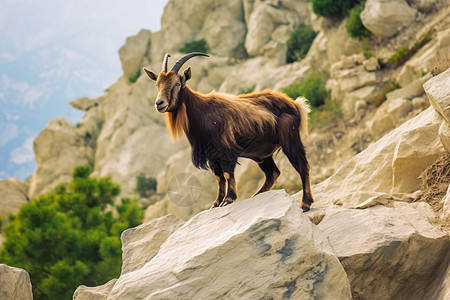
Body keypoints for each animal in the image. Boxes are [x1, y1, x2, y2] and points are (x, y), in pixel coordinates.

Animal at [143, 52, 312, 211]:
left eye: (177, 83)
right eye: (157, 84)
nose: (159, 103)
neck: (202, 112)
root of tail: (295, 104)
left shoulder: (226, 150)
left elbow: (227, 173)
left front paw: (228, 199)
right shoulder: (212, 156)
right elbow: (219, 178)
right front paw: (216, 203)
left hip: (290, 140)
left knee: (302, 167)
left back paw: (305, 203)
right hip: (263, 154)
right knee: (273, 173)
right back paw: (256, 195)